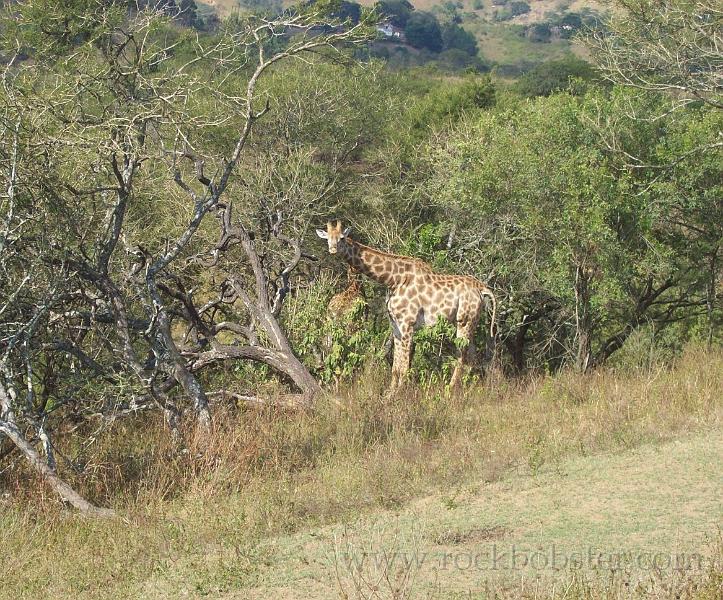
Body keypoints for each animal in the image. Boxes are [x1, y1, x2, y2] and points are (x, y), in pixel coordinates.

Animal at [318, 220, 498, 390]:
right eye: (327, 238)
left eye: (342, 238)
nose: (332, 250)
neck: (392, 279)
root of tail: (482, 289)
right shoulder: (395, 324)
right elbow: (395, 368)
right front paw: (389, 394)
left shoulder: (407, 323)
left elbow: (404, 367)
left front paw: (400, 394)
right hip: (469, 322)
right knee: (474, 358)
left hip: (464, 321)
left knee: (462, 356)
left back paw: (451, 389)